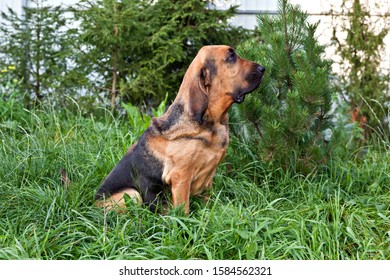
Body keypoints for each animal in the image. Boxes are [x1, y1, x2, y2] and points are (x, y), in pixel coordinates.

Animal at [95, 44, 266, 214]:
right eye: (231, 56)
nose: (263, 68)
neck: (211, 122)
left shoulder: (208, 179)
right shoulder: (181, 176)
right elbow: (183, 209)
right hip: (132, 194)